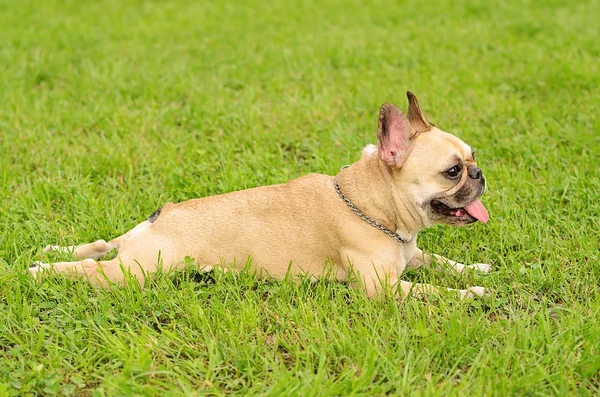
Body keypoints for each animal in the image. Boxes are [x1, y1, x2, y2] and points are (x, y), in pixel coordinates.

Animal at [30, 92, 492, 296]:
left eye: (472, 156)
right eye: (453, 171)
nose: (479, 173)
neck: (369, 204)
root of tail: (163, 213)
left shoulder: (410, 255)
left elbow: (440, 261)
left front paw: (475, 270)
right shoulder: (384, 287)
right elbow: (430, 291)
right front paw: (467, 294)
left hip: (133, 254)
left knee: (100, 245)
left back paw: (51, 250)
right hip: (138, 271)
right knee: (90, 270)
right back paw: (42, 270)